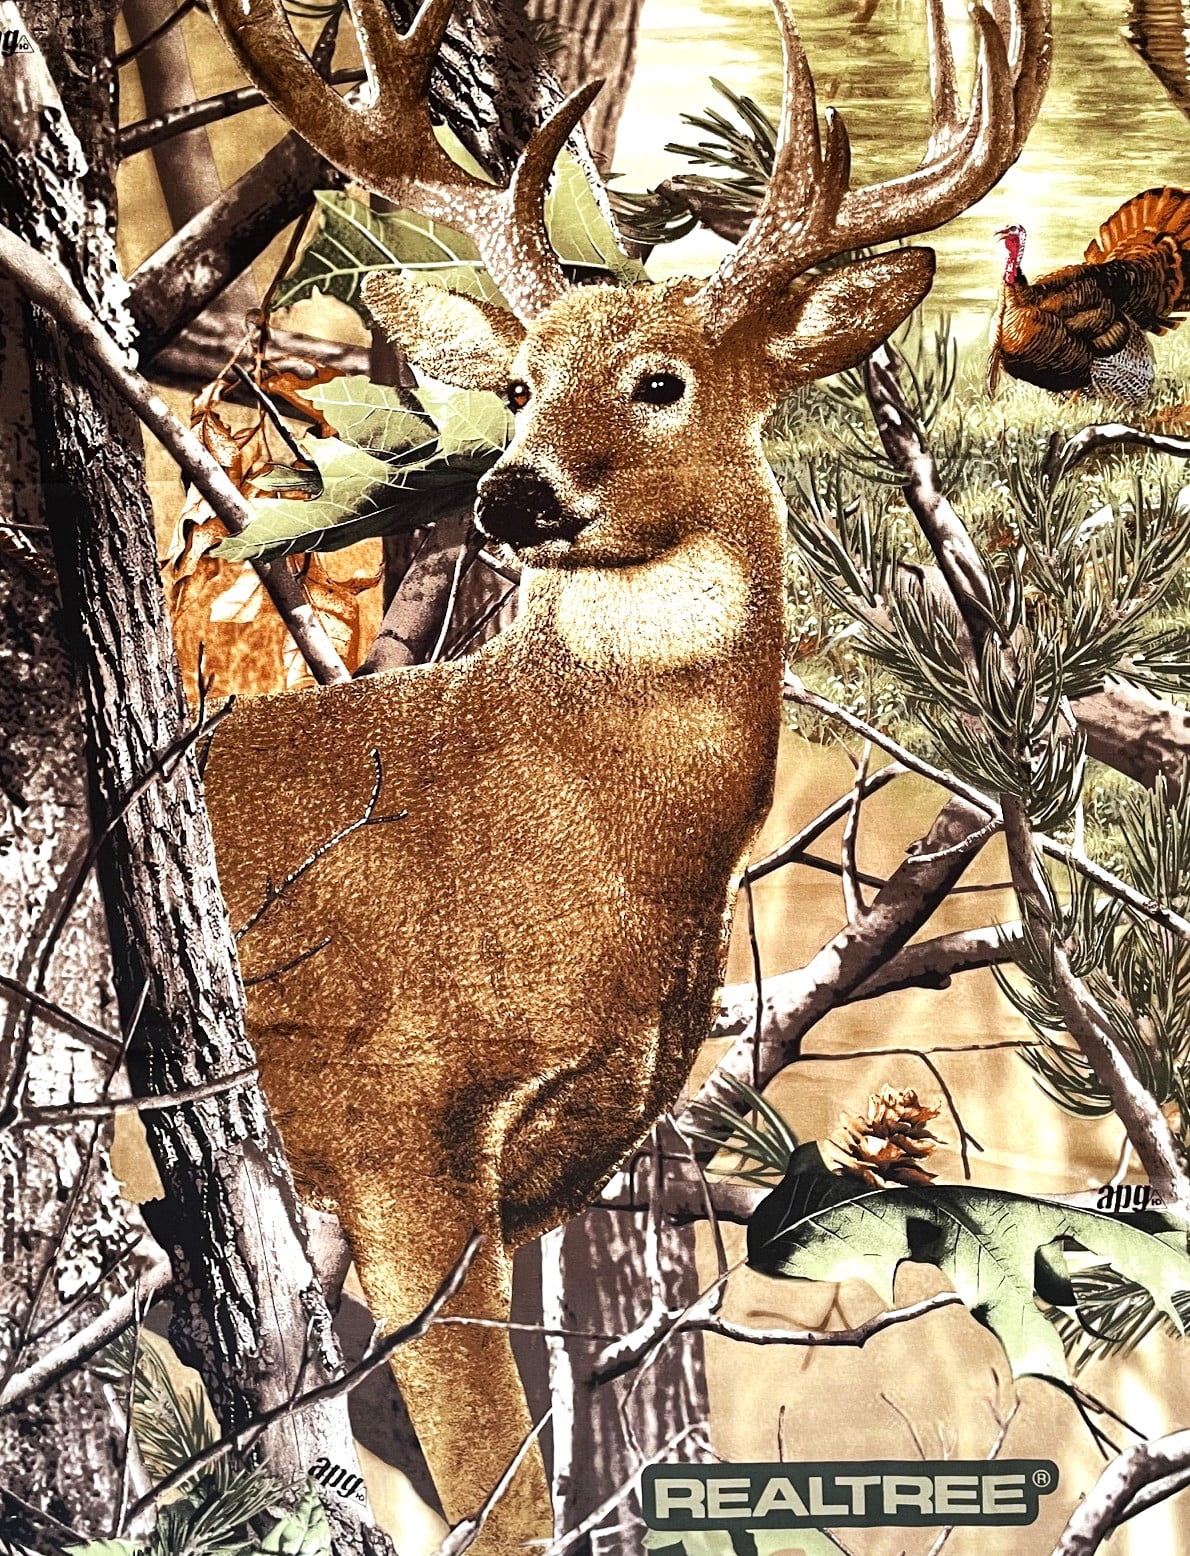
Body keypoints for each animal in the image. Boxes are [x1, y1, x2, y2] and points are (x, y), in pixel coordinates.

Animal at [200, 0, 1050, 1549]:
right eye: (517, 384)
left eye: (662, 380)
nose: (512, 492)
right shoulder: (395, 1126)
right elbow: (501, 1489)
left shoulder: (558, 1162)